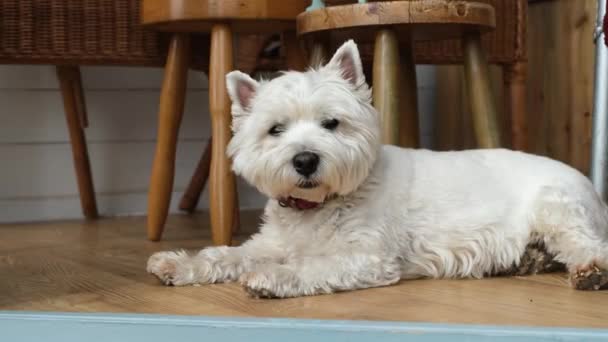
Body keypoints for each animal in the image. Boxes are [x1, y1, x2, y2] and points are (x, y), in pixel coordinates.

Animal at [147, 39, 608, 296]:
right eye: (275, 129)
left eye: (331, 123)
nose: (305, 159)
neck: (320, 207)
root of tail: (590, 187)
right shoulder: (271, 243)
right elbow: (226, 254)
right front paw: (176, 264)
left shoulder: (368, 258)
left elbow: (311, 266)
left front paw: (270, 279)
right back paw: (525, 261)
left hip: (558, 209)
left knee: (587, 246)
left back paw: (589, 272)